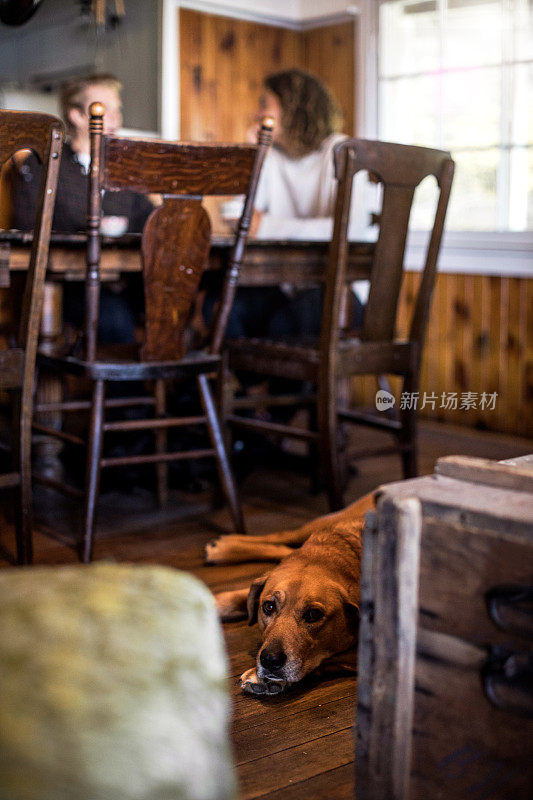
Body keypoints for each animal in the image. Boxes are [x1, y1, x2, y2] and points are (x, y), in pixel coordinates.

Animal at [204, 494, 374, 692]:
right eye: (268, 607)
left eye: (313, 614)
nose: (270, 660)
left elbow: (331, 657)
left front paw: (261, 678)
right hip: (323, 522)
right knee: (280, 537)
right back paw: (223, 548)